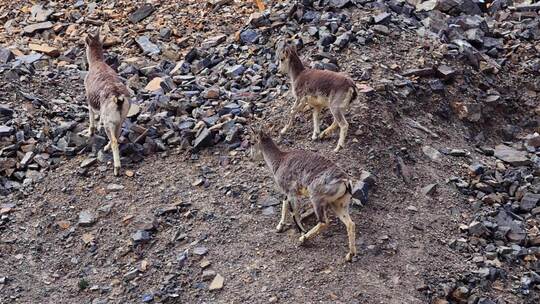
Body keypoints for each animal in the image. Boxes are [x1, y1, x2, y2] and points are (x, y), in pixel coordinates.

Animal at [84, 30, 131, 176]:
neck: (96, 63)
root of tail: (118, 99)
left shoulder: (89, 100)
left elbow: (91, 114)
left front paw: (91, 132)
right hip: (120, 120)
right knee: (117, 134)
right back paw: (105, 148)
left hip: (110, 122)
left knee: (115, 140)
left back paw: (116, 169)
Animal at [254, 129, 358, 262]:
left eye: (252, 142)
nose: (251, 156)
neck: (279, 160)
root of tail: (345, 181)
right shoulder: (287, 194)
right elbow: (285, 206)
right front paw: (280, 227)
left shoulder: (291, 193)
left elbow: (294, 213)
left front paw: (301, 231)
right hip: (338, 204)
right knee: (350, 224)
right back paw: (350, 255)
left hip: (317, 198)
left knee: (324, 222)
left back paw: (303, 239)